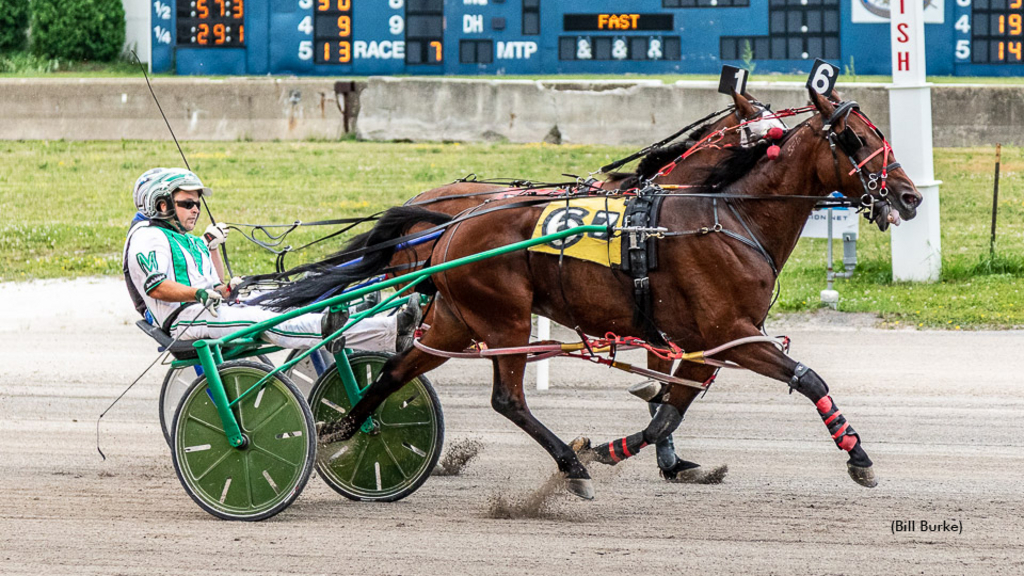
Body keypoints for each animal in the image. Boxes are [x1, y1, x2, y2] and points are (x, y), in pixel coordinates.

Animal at [264, 90, 921, 498]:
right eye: (856, 138)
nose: (911, 197)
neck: (722, 216)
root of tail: (451, 221)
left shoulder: (699, 344)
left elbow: (668, 409)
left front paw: (634, 449)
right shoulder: (732, 336)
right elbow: (808, 379)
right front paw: (859, 458)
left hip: (456, 317)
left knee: (398, 369)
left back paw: (346, 429)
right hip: (504, 319)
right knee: (507, 400)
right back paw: (569, 464)